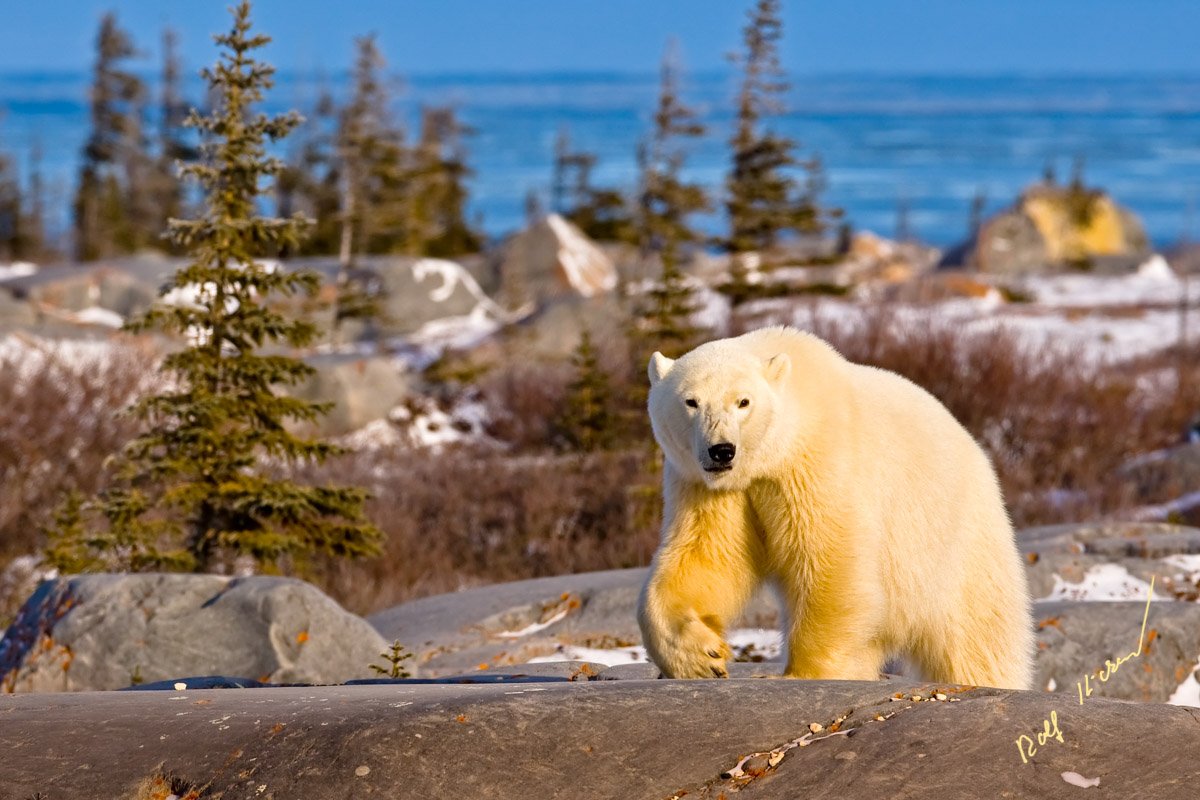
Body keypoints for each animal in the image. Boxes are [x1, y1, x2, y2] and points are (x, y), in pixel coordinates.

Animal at [643, 326, 1036, 690]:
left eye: (743, 402)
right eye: (691, 402)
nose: (722, 450)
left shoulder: (818, 460)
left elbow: (829, 558)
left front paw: (803, 673)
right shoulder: (708, 485)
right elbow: (705, 556)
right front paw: (701, 656)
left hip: (957, 549)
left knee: (977, 639)